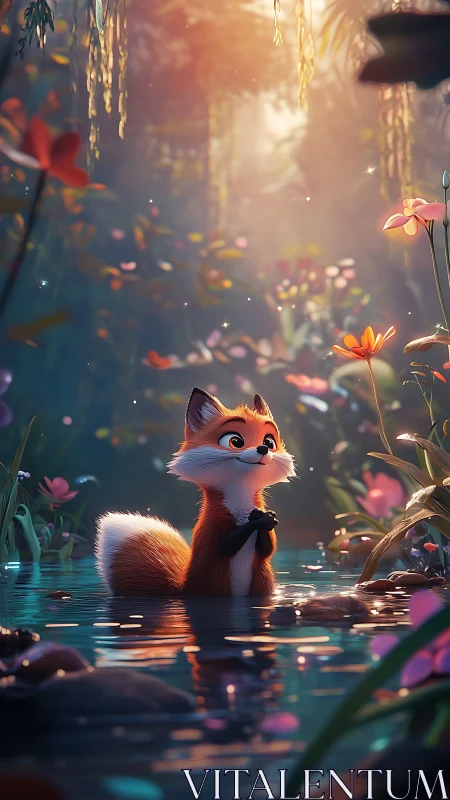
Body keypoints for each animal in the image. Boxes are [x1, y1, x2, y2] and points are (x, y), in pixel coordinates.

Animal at [96, 387, 296, 597]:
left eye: (269, 441)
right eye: (235, 441)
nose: (263, 448)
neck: (241, 507)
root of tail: (184, 587)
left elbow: (268, 549)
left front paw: (265, 519)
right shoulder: (212, 526)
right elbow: (224, 545)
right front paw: (260, 520)